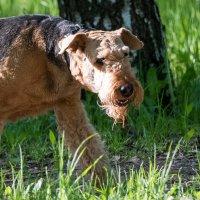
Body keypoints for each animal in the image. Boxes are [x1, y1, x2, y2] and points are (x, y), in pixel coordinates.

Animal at [0, 14, 144, 180]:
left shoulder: (69, 106)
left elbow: (90, 147)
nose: (127, 89)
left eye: (126, 54)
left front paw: (105, 184)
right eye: (100, 60)